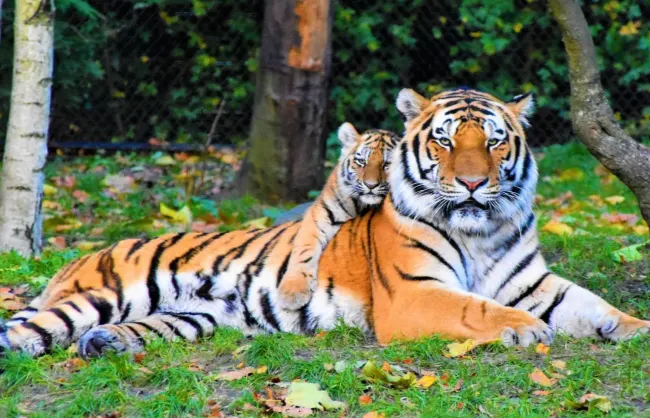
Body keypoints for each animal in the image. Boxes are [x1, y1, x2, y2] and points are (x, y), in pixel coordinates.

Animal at [277, 122, 400, 309]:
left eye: (387, 164)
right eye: (361, 162)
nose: (370, 185)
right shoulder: (319, 214)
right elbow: (304, 249)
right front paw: (292, 292)